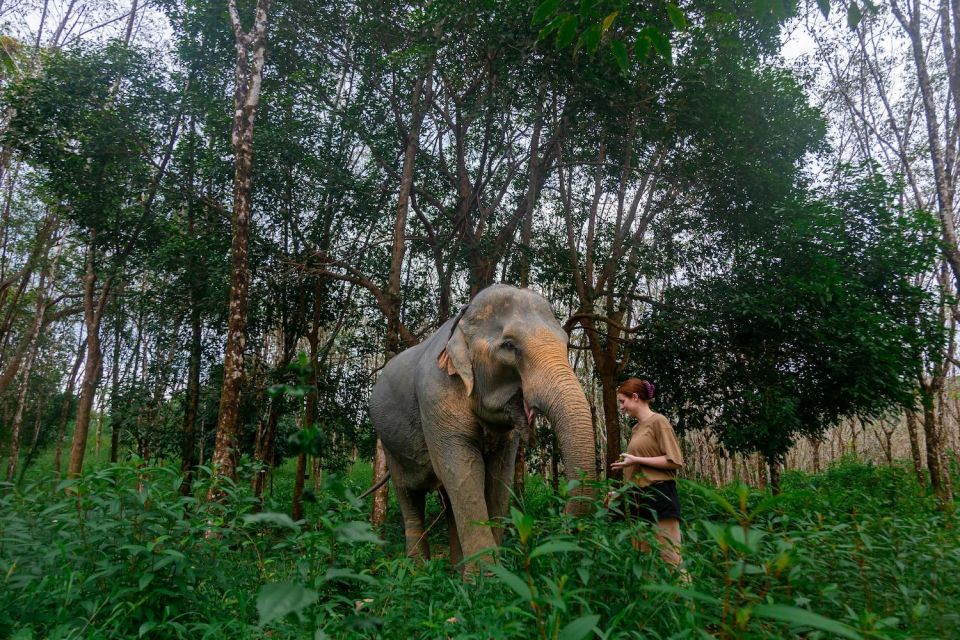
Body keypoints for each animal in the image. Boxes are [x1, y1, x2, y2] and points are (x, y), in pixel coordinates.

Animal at [369, 284, 597, 568]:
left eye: (566, 344)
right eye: (509, 346)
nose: (563, 527)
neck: (462, 321)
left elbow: (499, 476)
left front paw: (494, 572)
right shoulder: (435, 397)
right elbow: (462, 470)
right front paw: (489, 577)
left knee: (447, 500)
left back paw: (454, 570)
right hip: (390, 447)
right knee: (409, 497)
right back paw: (417, 571)